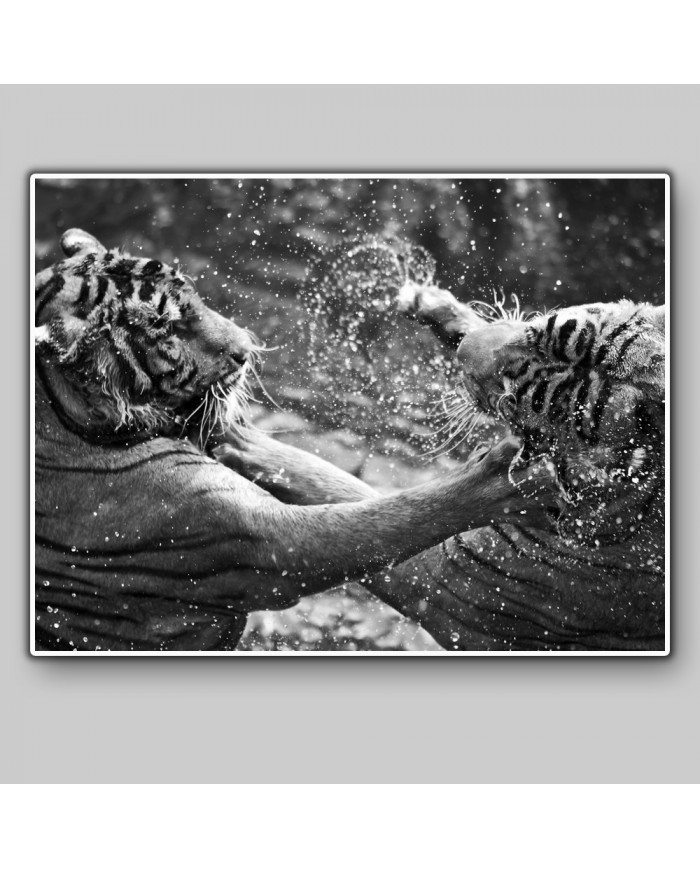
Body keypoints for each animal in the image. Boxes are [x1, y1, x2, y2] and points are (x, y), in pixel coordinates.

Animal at [33, 229, 559, 652]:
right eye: (165, 326)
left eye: (194, 296)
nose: (245, 349)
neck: (67, 413)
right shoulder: (256, 540)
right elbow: (393, 516)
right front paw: (514, 476)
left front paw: (235, 436)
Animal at [221, 281, 667, 651]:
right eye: (536, 332)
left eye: (513, 399)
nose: (464, 348)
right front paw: (430, 302)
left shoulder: (439, 583)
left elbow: (366, 507)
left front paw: (238, 437)